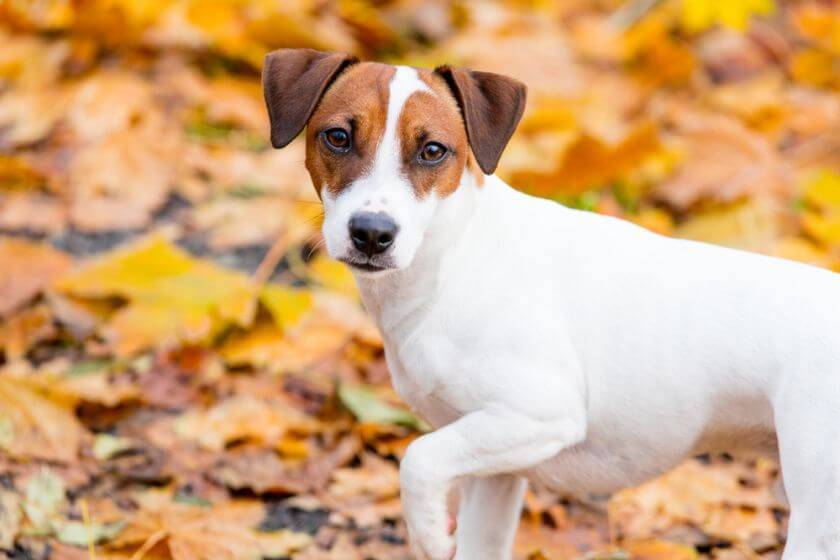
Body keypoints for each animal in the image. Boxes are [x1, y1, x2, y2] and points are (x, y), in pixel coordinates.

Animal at [262, 49, 840, 560]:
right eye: (338, 137)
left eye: (433, 151)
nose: (372, 233)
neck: (454, 257)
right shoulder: (494, 466)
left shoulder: (540, 413)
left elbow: (417, 460)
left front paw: (427, 534)